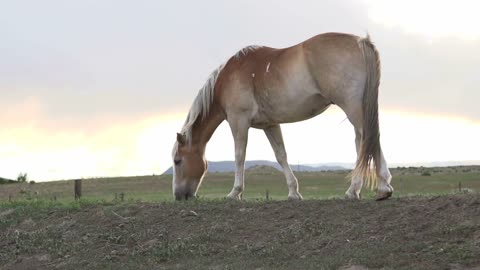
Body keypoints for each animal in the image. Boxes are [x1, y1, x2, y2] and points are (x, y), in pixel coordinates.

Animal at [172, 32, 394, 200]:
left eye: (177, 161)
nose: (178, 196)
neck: (227, 78)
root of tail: (361, 41)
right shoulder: (270, 125)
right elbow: (281, 155)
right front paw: (293, 192)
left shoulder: (238, 121)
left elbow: (239, 155)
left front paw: (235, 192)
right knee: (363, 142)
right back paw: (361, 189)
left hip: (353, 108)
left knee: (368, 139)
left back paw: (376, 187)